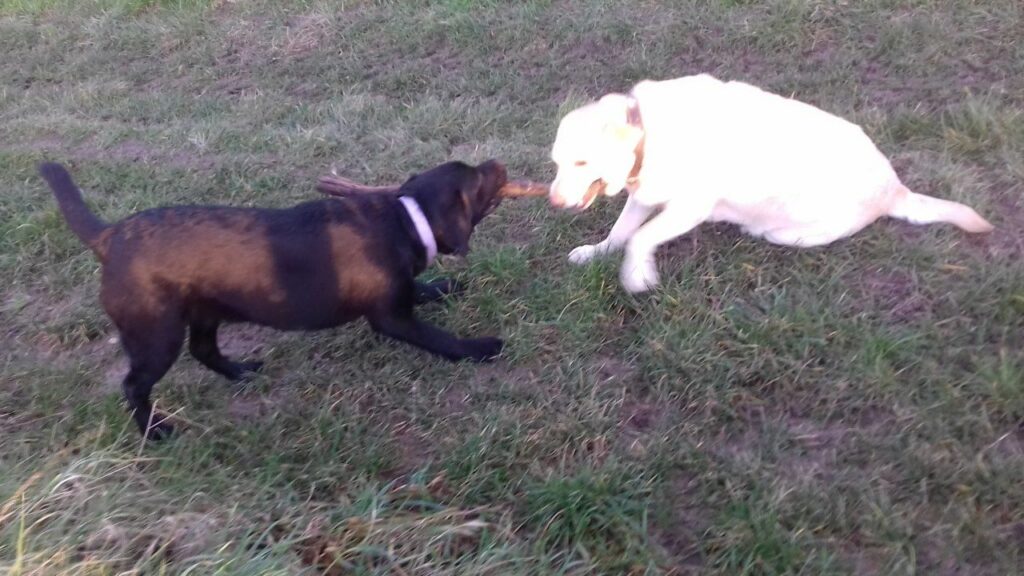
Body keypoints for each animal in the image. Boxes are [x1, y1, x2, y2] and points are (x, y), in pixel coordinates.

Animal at [40, 158, 512, 436]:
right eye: (479, 178)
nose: (499, 162)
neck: (406, 218)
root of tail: (109, 236)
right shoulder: (390, 318)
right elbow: (438, 338)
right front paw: (480, 348)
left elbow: (420, 290)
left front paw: (441, 288)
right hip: (156, 334)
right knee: (134, 385)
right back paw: (154, 431)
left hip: (205, 311)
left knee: (204, 350)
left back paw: (240, 372)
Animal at [552, 72, 991, 291]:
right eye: (556, 163)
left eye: (582, 161)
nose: (554, 201)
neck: (646, 132)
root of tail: (895, 189)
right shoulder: (644, 194)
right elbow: (621, 232)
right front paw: (596, 253)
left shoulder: (690, 207)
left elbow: (641, 238)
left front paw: (637, 275)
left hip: (792, 231)